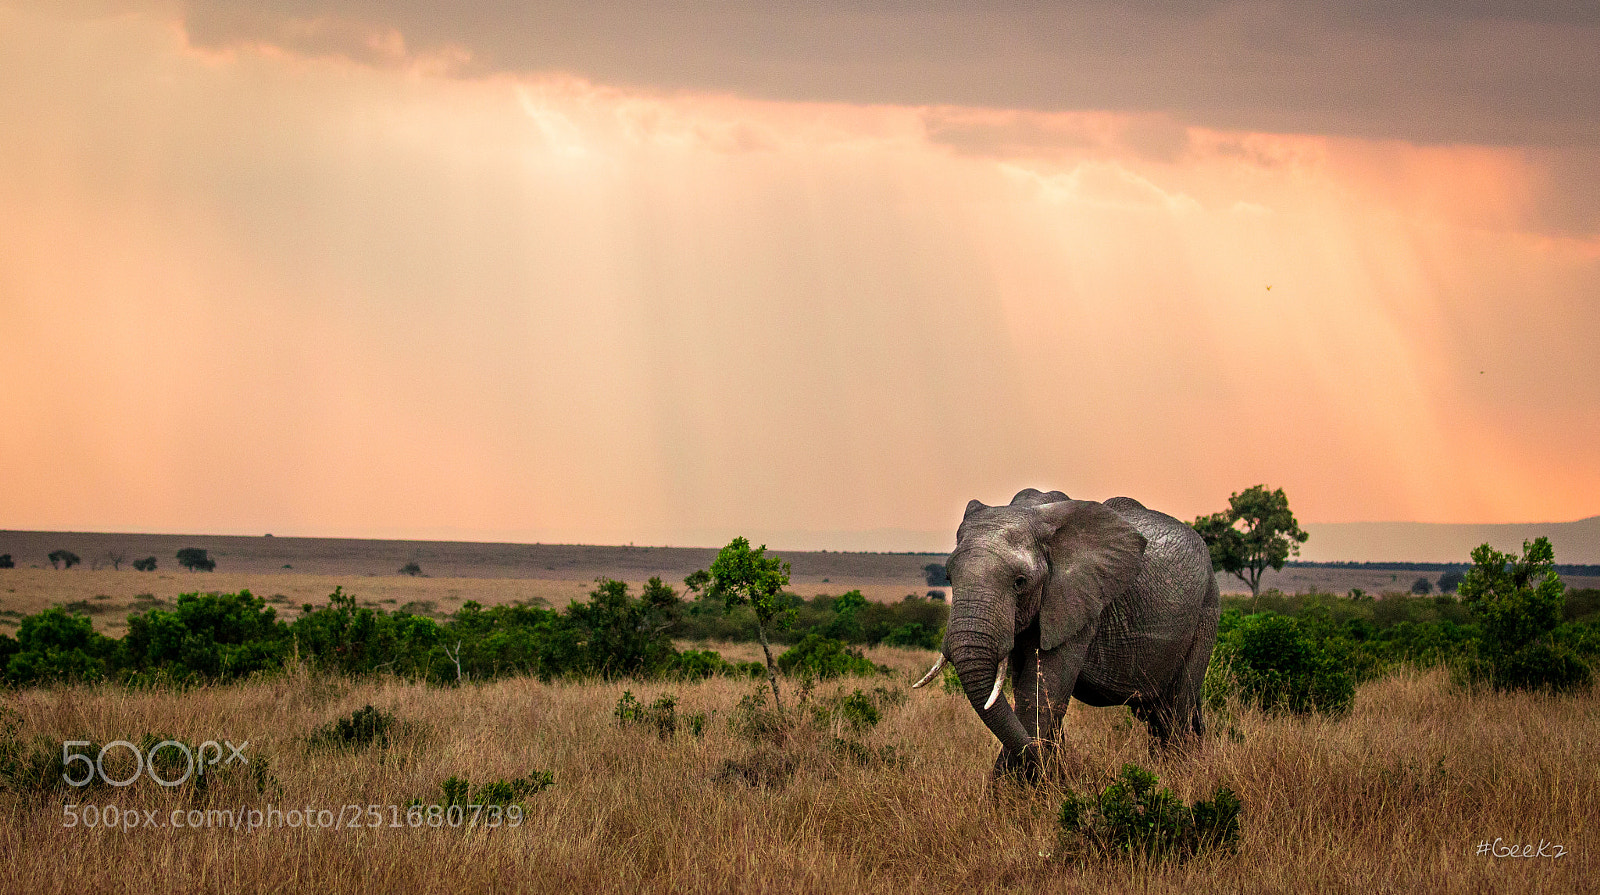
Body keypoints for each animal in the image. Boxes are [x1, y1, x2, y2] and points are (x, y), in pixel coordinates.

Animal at [913, 488, 1219, 781]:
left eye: (1020, 582)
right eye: (949, 578)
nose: (1067, 774)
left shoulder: (1080, 605)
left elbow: (1038, 696)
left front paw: (1010, 790)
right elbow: (1031, 692)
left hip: (1206, 611)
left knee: (1175, 710)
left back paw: (1178, 772)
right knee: (1161, 713)